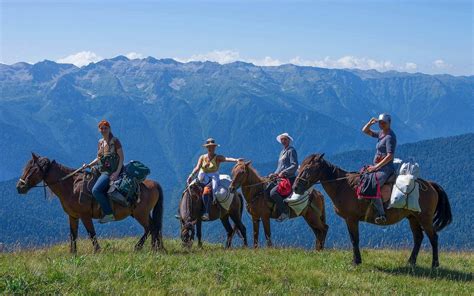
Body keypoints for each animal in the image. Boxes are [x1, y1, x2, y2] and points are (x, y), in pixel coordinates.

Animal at [16, 154, 165, 253]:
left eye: (32, 169)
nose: (19, 187)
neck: (71, 186)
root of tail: (154, 184)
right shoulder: (73, 216)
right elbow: (73, 234)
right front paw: (73, 253)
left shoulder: (85, 215)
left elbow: (91, 233)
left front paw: (97, 250)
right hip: (141, 213)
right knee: (154, 228)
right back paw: (154, 248)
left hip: (141, 214)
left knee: (150, 228)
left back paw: (141, 247)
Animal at [294, 154, 454, 268]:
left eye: (307, 169)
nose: (296, 187)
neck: (344, 186)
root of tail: (431, 185)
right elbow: (354, 239)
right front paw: (356, 260)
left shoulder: (351, 219)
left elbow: (354, 239)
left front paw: (356, 261)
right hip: (412, 217)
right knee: (418, 238)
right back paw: (411, 262)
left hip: (424, 218)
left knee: (433, 238)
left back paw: (435, 264)